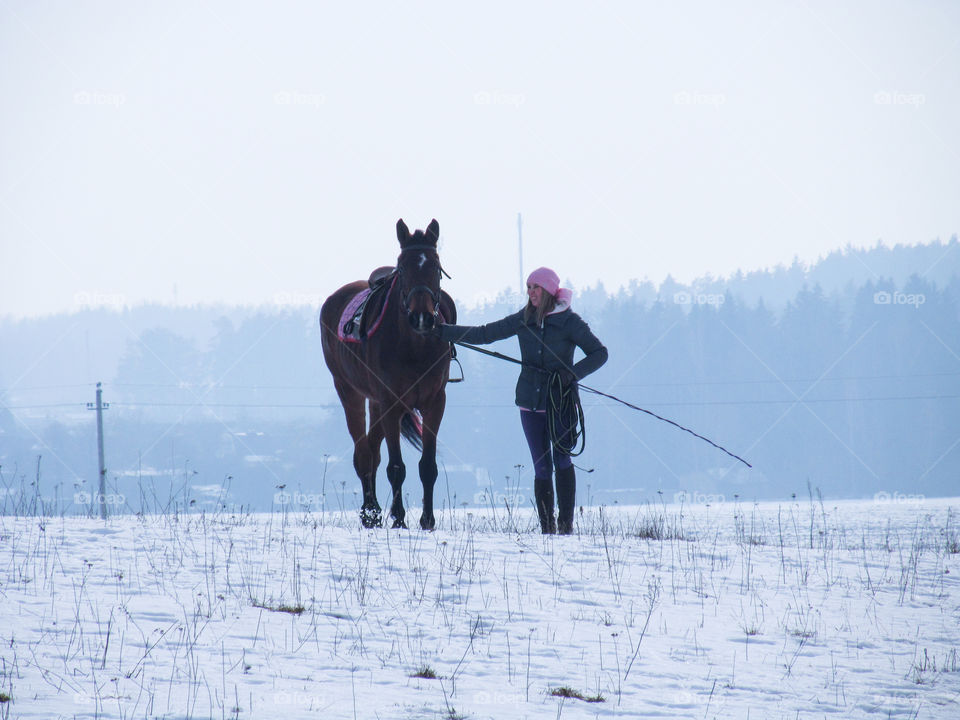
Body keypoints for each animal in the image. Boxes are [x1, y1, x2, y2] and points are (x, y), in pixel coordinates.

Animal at [318, 219, 458, 528]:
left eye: (436, 267)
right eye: (402, 268)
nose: (422, 317)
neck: (415, 345)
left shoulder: (435, 403)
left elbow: (427, 466)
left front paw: (427, 520)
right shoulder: (392, 402)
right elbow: (396, 467)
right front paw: (400, 519)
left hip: (376, 402)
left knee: (372, 450)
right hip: (349, 391)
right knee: (363, 452)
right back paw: (370, 511)